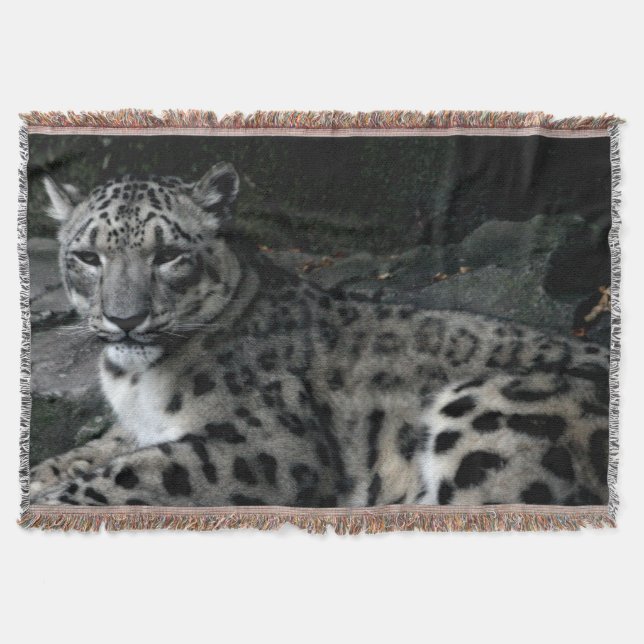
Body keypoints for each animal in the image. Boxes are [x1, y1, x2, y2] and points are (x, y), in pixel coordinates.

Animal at [29, 162, 610, 508]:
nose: (125, 319)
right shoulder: (134, 427)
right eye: (88, 257)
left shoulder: (267, 444)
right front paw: (44, 474)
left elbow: (136, 472)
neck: (135, 383)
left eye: (169, 254)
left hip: (489, 415)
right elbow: (97, 451)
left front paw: (51, 499)